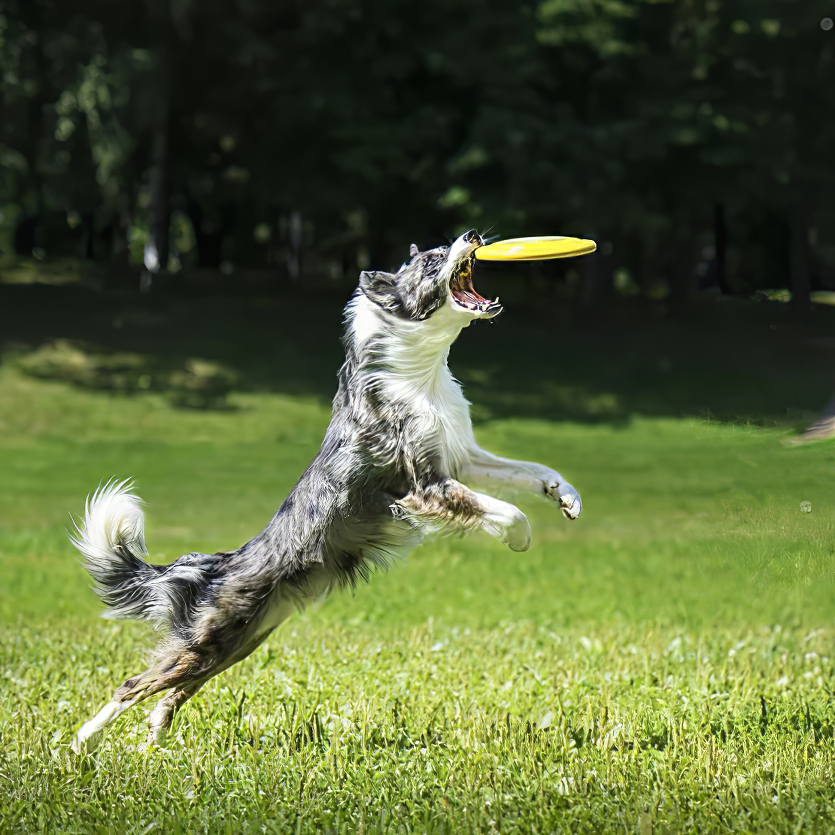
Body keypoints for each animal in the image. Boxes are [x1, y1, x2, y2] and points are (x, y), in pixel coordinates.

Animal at [70, 232, 580, 756]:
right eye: (431, 260)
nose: (473, 236)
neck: (422, 371)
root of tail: (216, 565)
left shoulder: (463, 458)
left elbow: (529, 472)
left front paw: (566, 496)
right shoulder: (424, 485)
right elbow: (508, 511)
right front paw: (520, 538)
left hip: (236, 645)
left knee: (169, 694)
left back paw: (151, 744)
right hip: (211, 639)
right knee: (133, 685)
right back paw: (80, 742)